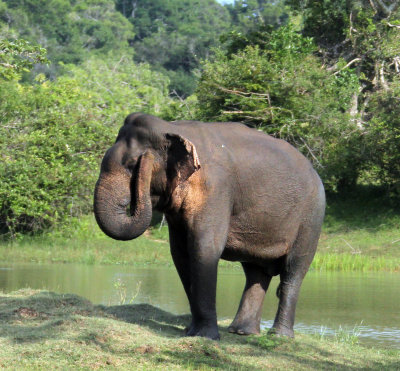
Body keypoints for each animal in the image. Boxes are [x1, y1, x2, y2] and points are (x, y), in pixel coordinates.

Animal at [94, 112, 324, 340]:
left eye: (132, 164)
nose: (144, 161)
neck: (174, 128)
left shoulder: (216, 187)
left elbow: (204, 247)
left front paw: (205, 336)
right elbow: (180, 253)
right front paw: (190, 331)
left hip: (311, 219)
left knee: (293, 271)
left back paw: (278, 336)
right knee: (255, 272)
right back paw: (241, 331)